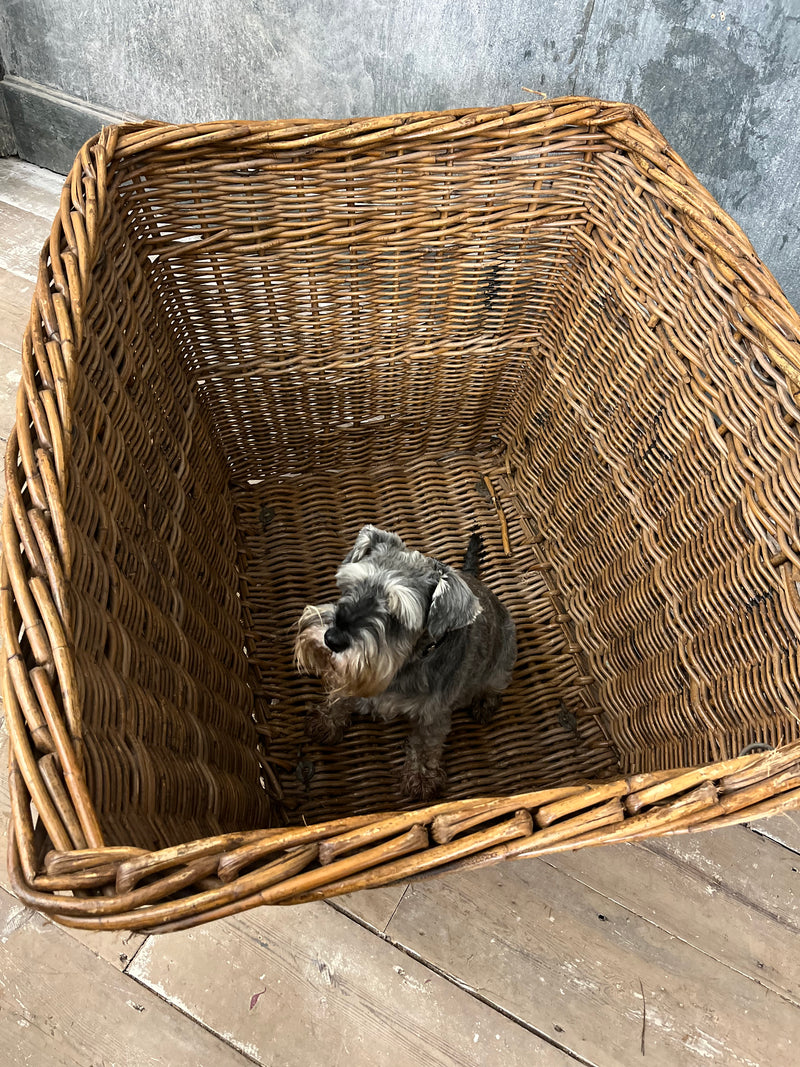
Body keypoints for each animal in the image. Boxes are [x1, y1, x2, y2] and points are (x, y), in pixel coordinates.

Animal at [294, 524, 520, 802]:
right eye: (351, 586)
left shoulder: (433, 714)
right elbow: (341, 698)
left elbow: (425, 744)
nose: (332, 638)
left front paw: (421, 778)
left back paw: (485, 703)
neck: (407, 662)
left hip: (503, 659)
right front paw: (326, 721)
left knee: (494, 684)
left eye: (397, 613)